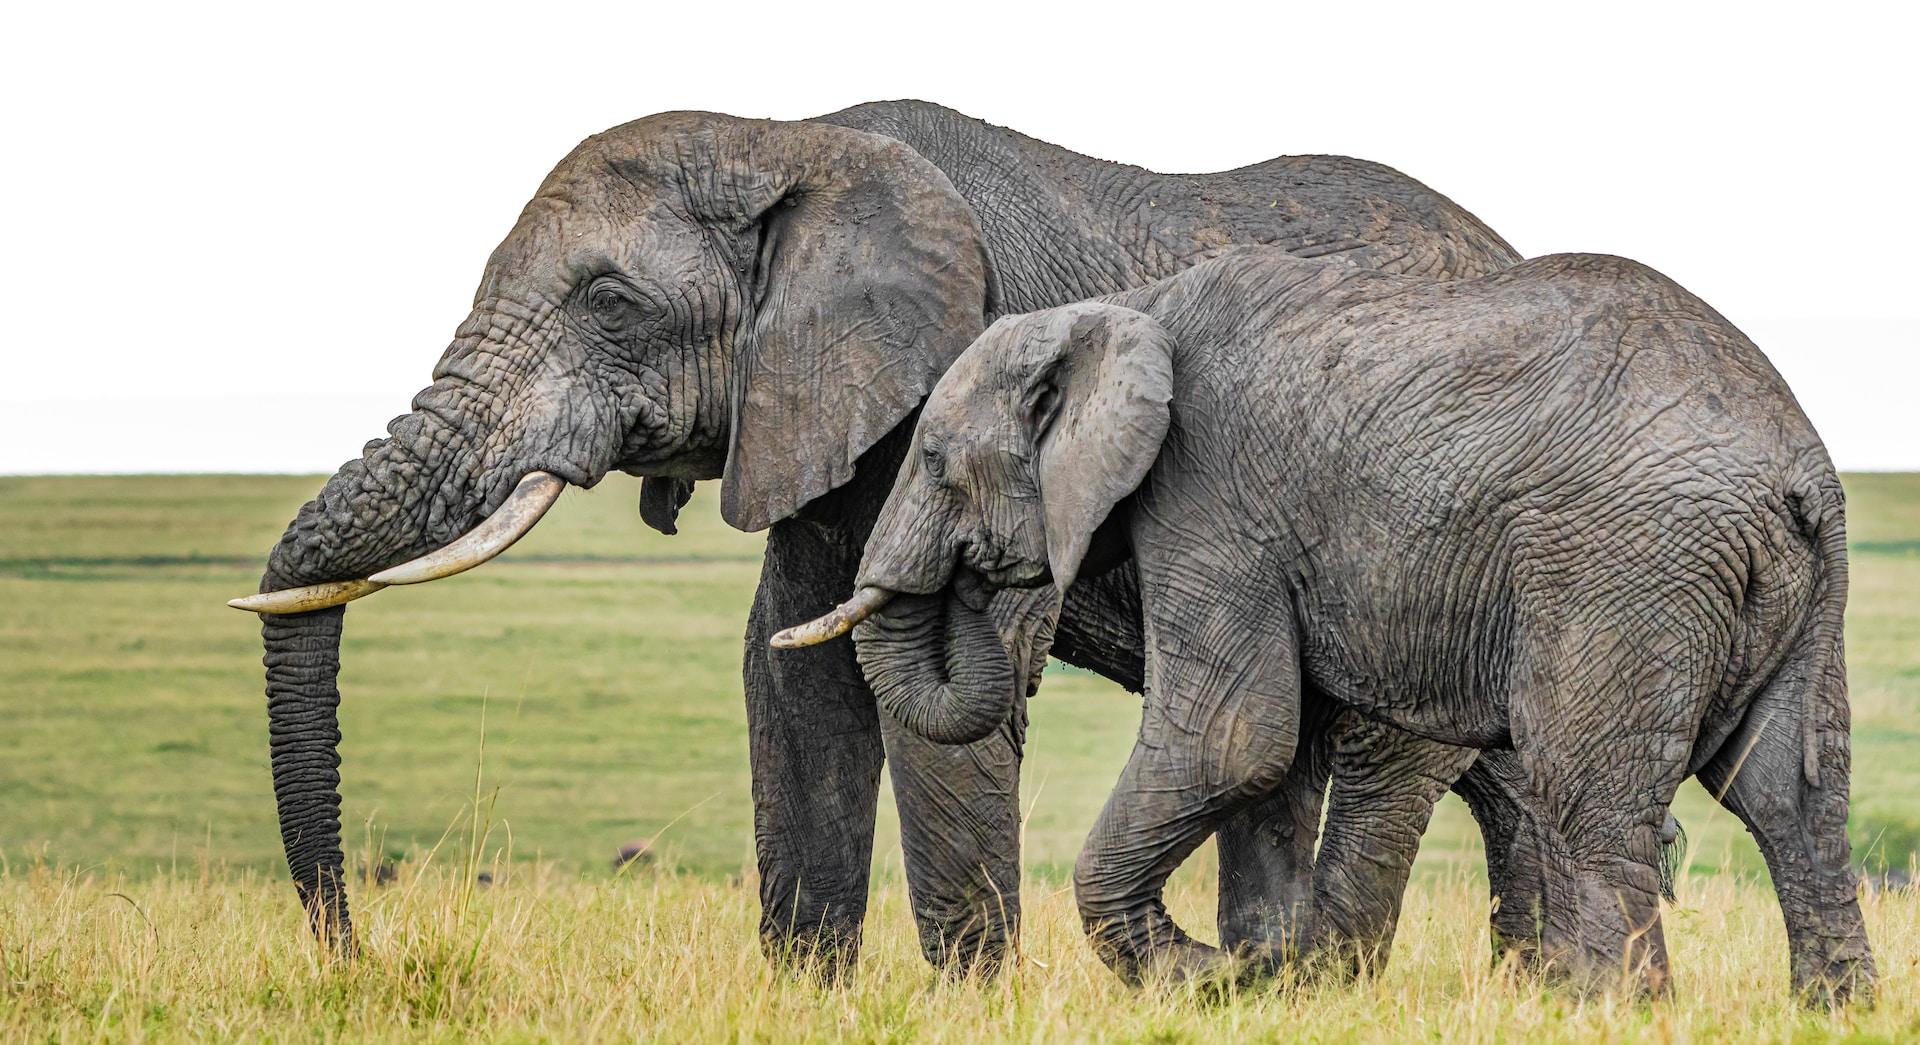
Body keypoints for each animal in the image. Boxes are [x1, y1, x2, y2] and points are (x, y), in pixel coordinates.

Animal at [233, 99, 1576, 974]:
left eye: (610, 300)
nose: (353, 954)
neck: (786, 139)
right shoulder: (811, 420)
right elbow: (792, 676)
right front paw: (806, 991)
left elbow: (942, 686)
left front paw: (970, 998)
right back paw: (1535, 992)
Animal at [782, 249, 1875, 1002]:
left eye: (930, 457)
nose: (977, 580)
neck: (1126, 309)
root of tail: (1804, 469)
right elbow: (1277, 756)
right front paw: (1267, 979)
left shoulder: (1212, 493)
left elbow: (1234, 737)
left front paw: (1212, 977)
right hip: (1797, 589)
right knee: (1790, 792)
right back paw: (1833, 1009)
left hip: (1624, 566)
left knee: (1591, 791)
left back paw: (1611, 1012)